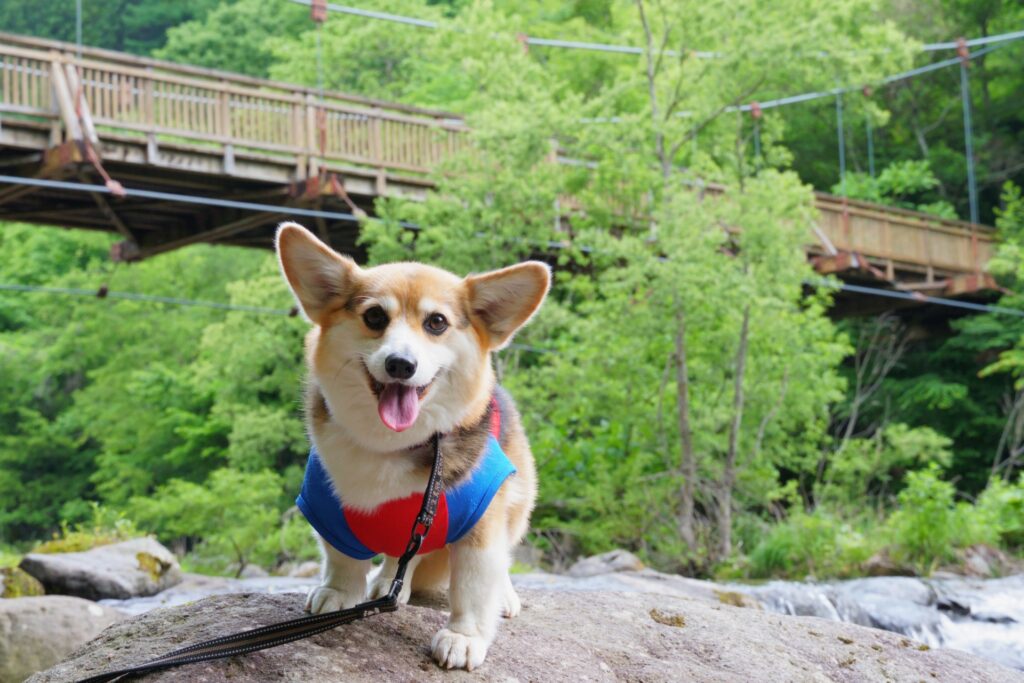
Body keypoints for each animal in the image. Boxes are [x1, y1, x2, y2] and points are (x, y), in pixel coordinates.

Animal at [276, 222, 552, 671]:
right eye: (374, 316)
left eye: (437, 322)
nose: (400, 365)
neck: (391, 445)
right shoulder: (325, 508)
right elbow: (341, 558)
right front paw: (339, 592)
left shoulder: (480, 526)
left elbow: (474, 585)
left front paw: (464, 637)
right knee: (401, 557)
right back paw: (388, 582)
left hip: (517, 502)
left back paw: (504, 596)